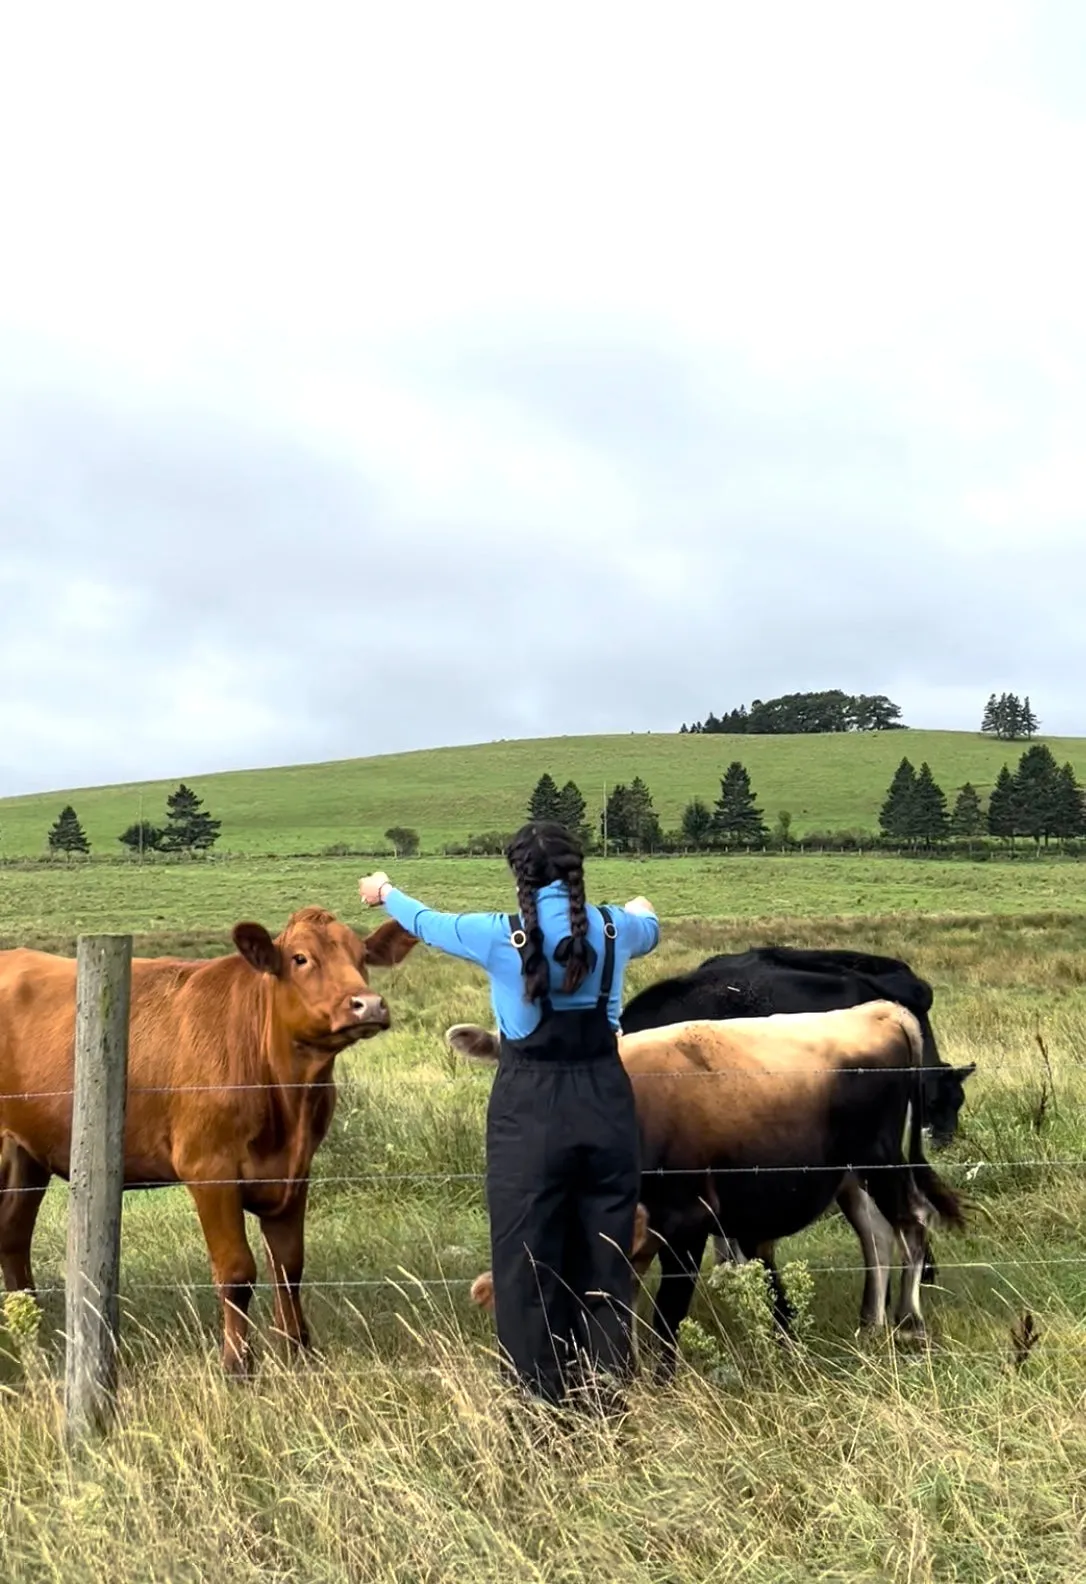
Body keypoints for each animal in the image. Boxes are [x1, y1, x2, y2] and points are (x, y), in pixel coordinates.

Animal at [0, 906, 417, 1374]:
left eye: (362, 956)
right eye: (301, 959)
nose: (369, 1004)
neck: (286, 1096)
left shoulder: (296, 1173)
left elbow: (289, 1267)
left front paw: (298, 1353)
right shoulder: (209, 1170)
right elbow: (237, 1272)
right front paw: (237, 1364)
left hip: (27, 1153)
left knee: (12, 1236)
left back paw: (32, 1339)